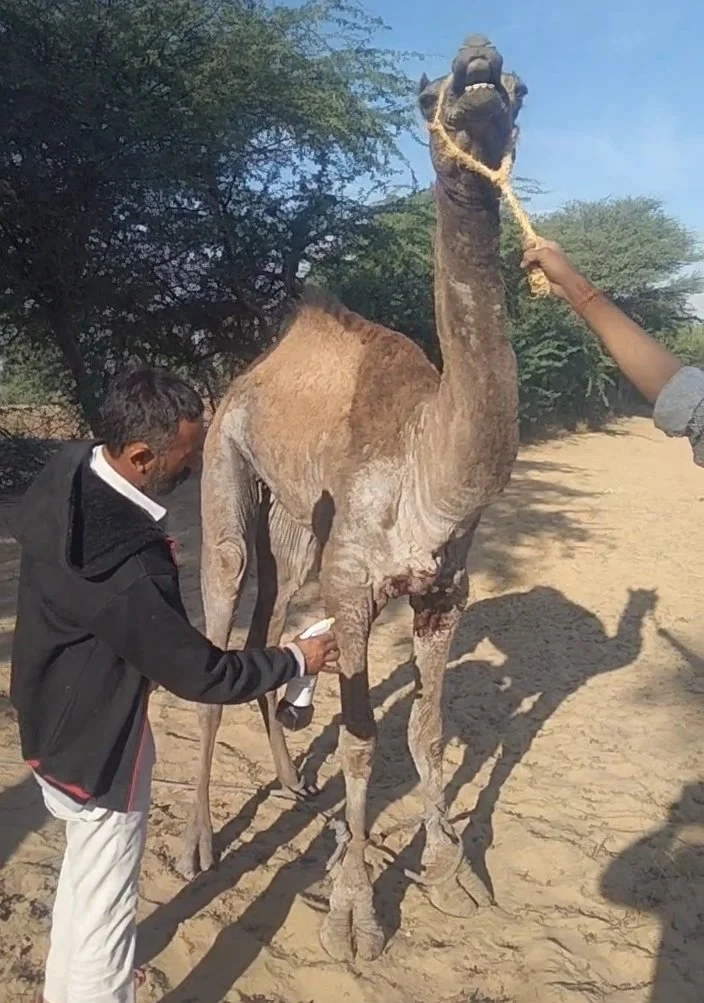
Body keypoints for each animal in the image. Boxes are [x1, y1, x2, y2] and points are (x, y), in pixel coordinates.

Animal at [178, 32, 528, 961]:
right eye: (423, 95)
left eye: (520, 88)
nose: (480, 69)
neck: (427, 468)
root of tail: (246, 376)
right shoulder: (355, 586)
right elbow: (364, 743)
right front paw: (355, 914)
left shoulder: (446, 589)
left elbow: (428, 729)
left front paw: (452, 873)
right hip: (224, 464)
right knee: (225, 601)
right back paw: (200, 844)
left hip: (297, 523)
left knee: (266, 621)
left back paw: (291, 782)